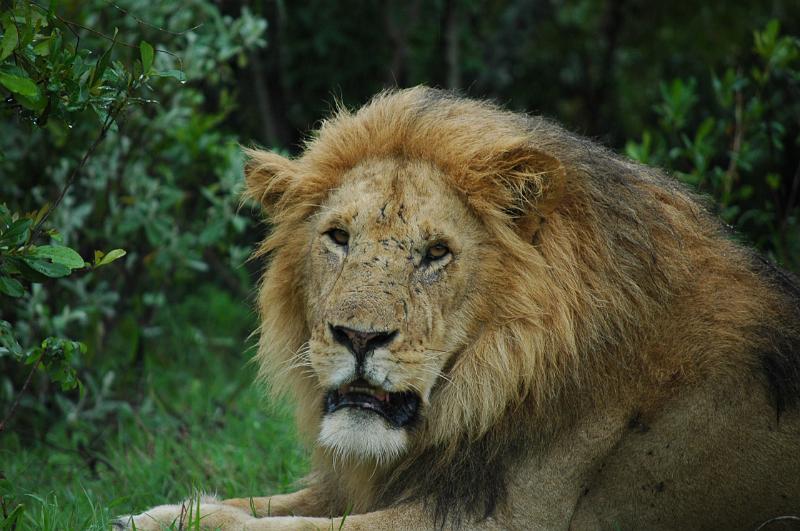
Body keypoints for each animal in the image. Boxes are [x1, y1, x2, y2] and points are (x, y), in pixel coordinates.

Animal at [122, 87, 800, 530]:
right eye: (338, 237)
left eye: (436, 253)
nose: (358, 338)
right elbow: (255, 505)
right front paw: (154, 513)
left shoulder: (506, 519)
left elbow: (281, 528)